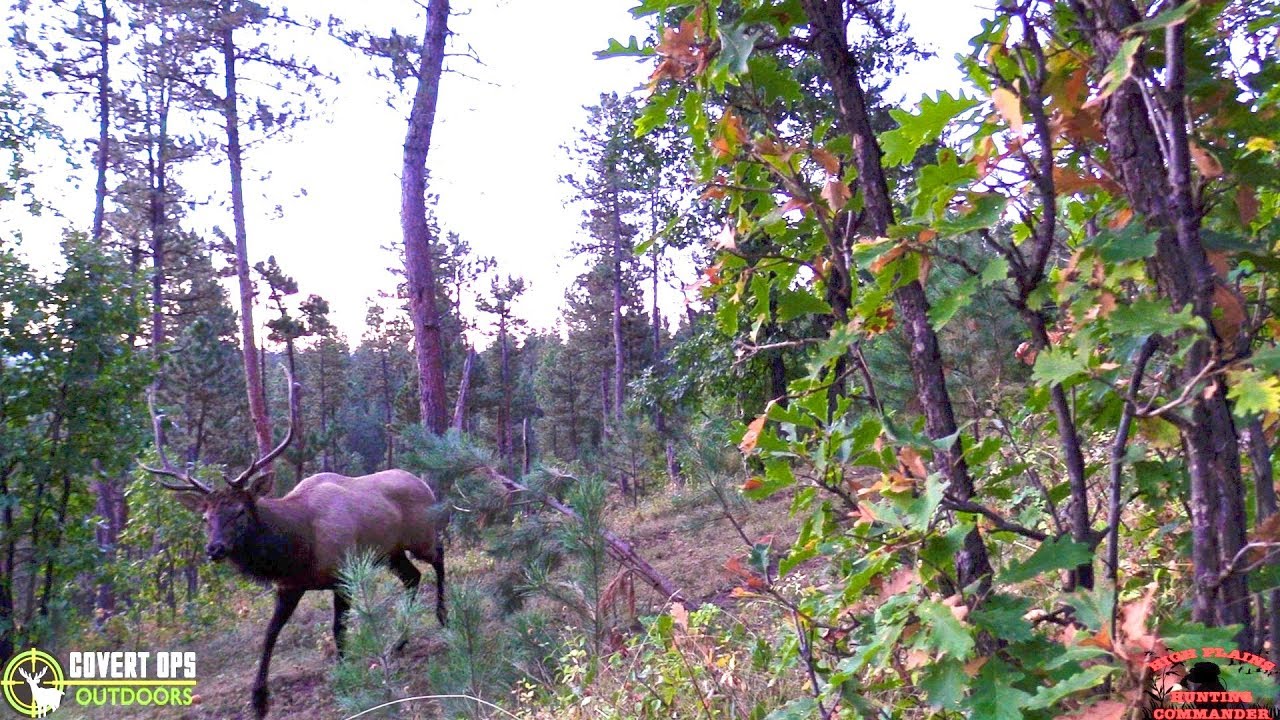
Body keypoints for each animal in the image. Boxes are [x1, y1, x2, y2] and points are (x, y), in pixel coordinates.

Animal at [142, 371, 449, 719]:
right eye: (206, 517)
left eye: (240, 511)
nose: (215, 549)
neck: (299, 548)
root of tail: (423, 483)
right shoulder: (289, 586)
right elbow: (269, 635)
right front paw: (259, 699)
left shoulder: (342, 575)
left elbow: (338, 629)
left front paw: (344, 673)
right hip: (390, 553)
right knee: (412, 577)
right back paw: (399, 642)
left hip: (421, 536)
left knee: (438, 557)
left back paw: (443, 616)